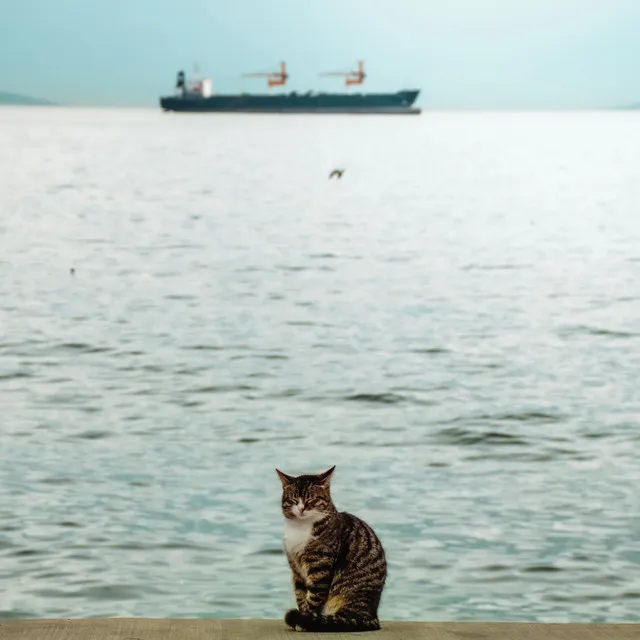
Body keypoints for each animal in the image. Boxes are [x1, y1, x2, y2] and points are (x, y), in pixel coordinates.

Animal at [274, 462, 384, 632]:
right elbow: (301, 595)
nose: (301, 508)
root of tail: (373, 616)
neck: (300, 528)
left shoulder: (320, 567)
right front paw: (302, 617)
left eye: (311, 499)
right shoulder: (296, 569)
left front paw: (305, 621)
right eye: (293, 500)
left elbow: (313, 599)